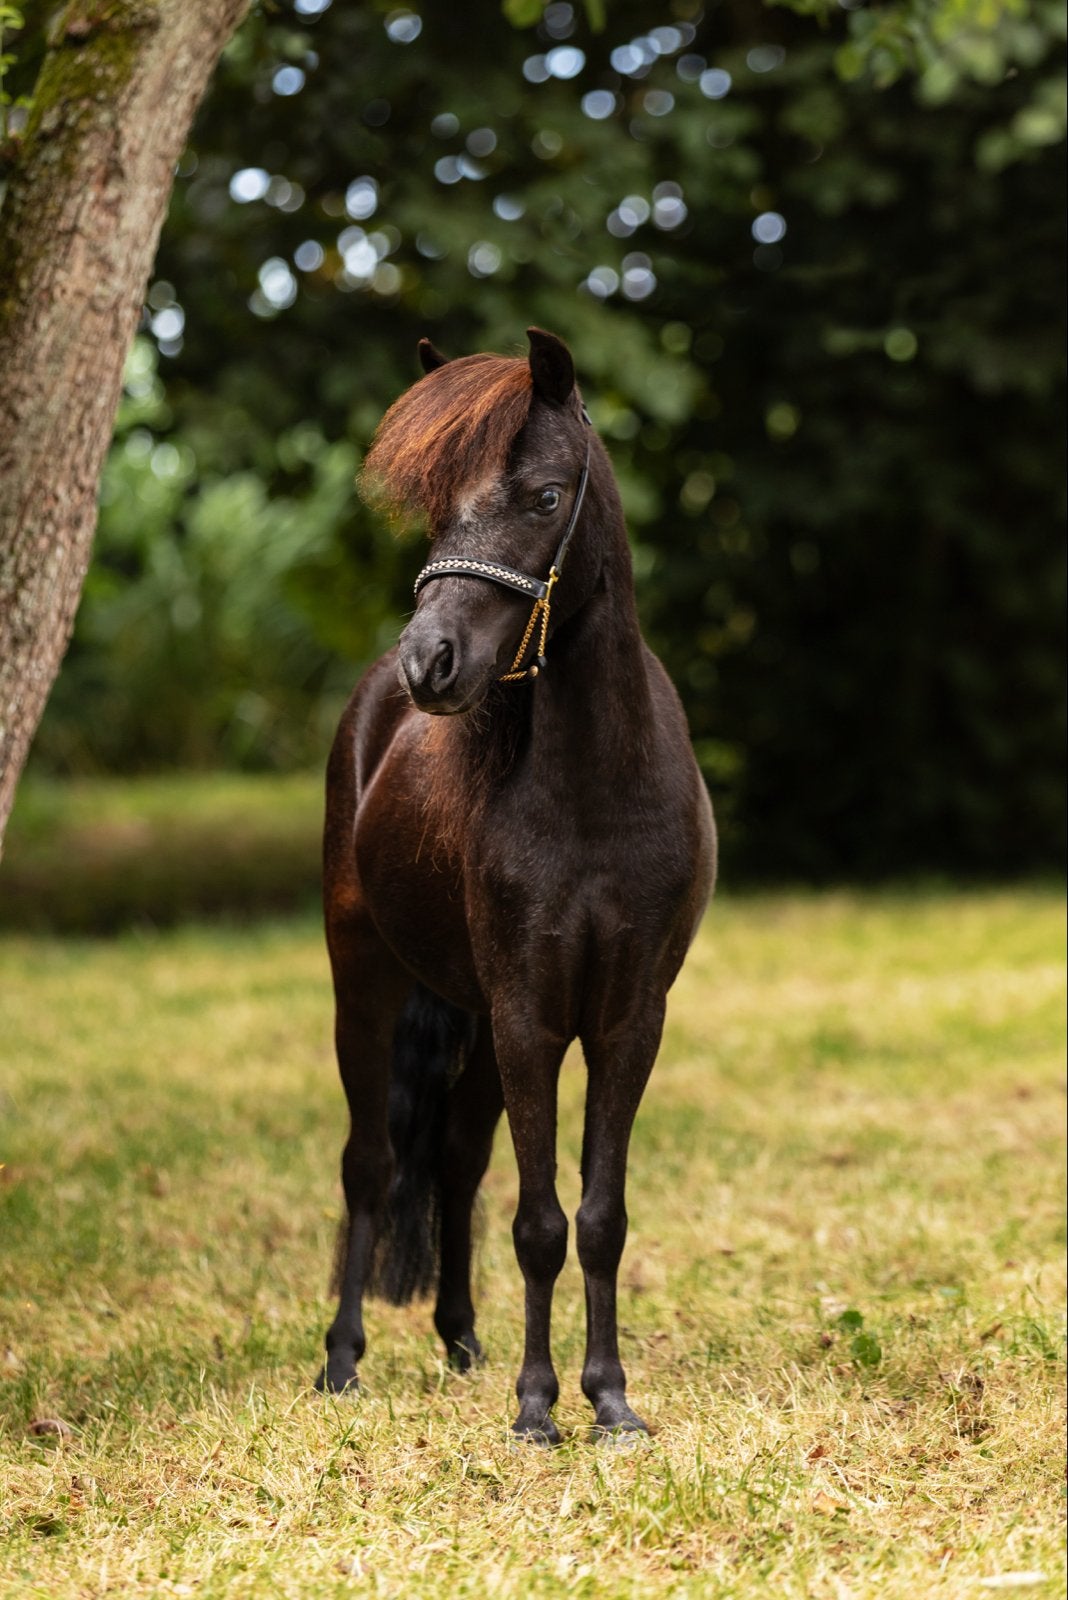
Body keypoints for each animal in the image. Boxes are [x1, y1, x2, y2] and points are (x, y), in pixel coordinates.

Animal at [316, 328, 716, 1442]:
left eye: (543, 496)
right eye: (438, 504)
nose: (431, 661)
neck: (597, 790)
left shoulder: (625, 1018)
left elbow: (598, 1214)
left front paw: (610, 1400)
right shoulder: (531, 1013)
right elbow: (539, 1221)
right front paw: (538, 1409)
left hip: (473, 1016)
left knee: (454, 1162)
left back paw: (460, 1341)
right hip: (366, 981)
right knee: (370, 1163)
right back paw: (343, 1360)